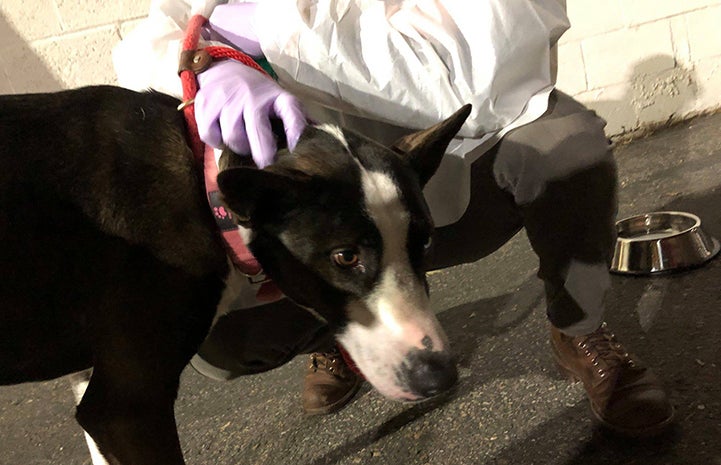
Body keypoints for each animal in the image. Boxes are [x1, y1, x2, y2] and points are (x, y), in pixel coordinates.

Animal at [0, 86, 470, 464]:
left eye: (424, 242)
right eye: (345, 256)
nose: (441, 376)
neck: (203, 191)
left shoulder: (89, 382)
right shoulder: (125, 410)